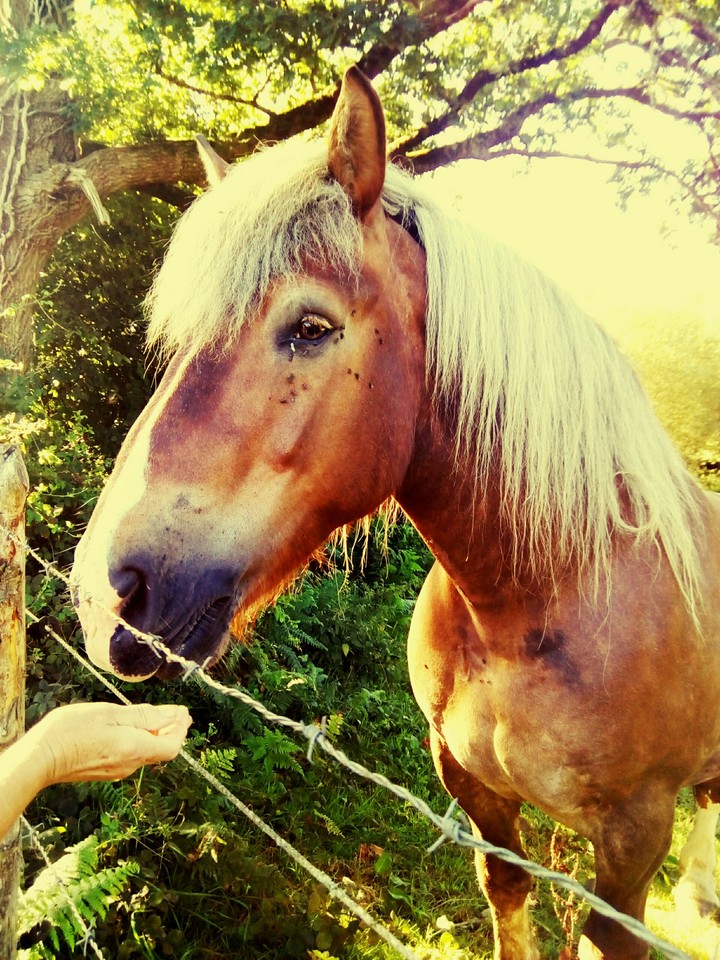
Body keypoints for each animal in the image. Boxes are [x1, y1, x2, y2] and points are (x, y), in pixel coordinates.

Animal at [71, 67, 720, 960]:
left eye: (311, 326)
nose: (106, 597)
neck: (550, 594)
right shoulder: (471, 787)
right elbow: (507, 894)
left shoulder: (629, 851)